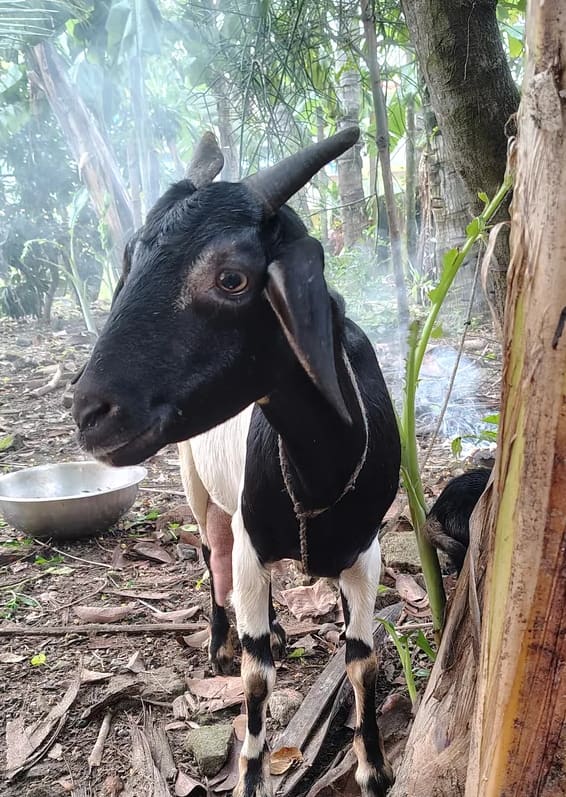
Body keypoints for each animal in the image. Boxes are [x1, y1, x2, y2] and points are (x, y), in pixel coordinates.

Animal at [73, 127, 401, 797]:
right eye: (129, 258)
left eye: (231, 279)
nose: (89, 412)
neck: (317, 480)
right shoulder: (253, 540)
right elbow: (256, 679)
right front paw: (250, 773)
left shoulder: (366, 550)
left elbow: (361, 658)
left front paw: (374, 769)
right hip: (200, 489)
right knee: (211, 558)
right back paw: (222, 643)